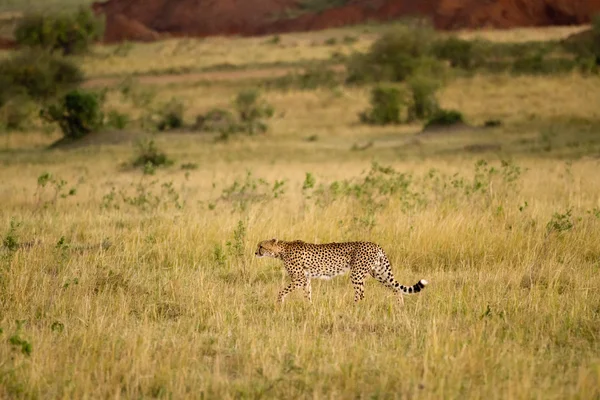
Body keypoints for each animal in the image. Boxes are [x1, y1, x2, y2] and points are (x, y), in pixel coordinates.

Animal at [253, 239, 426, 304]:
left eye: (261, 246)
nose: (255, 252)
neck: (283, 249)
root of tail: (375, 244)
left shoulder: (299, 279)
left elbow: (282, 291)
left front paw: (279, 303)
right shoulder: (305, 279)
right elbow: (307, 294)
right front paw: (309, 307)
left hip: (357, 274)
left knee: (361, 294)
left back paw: (353, 308)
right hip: (379, 273)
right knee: (396, 289)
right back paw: (399, 307)